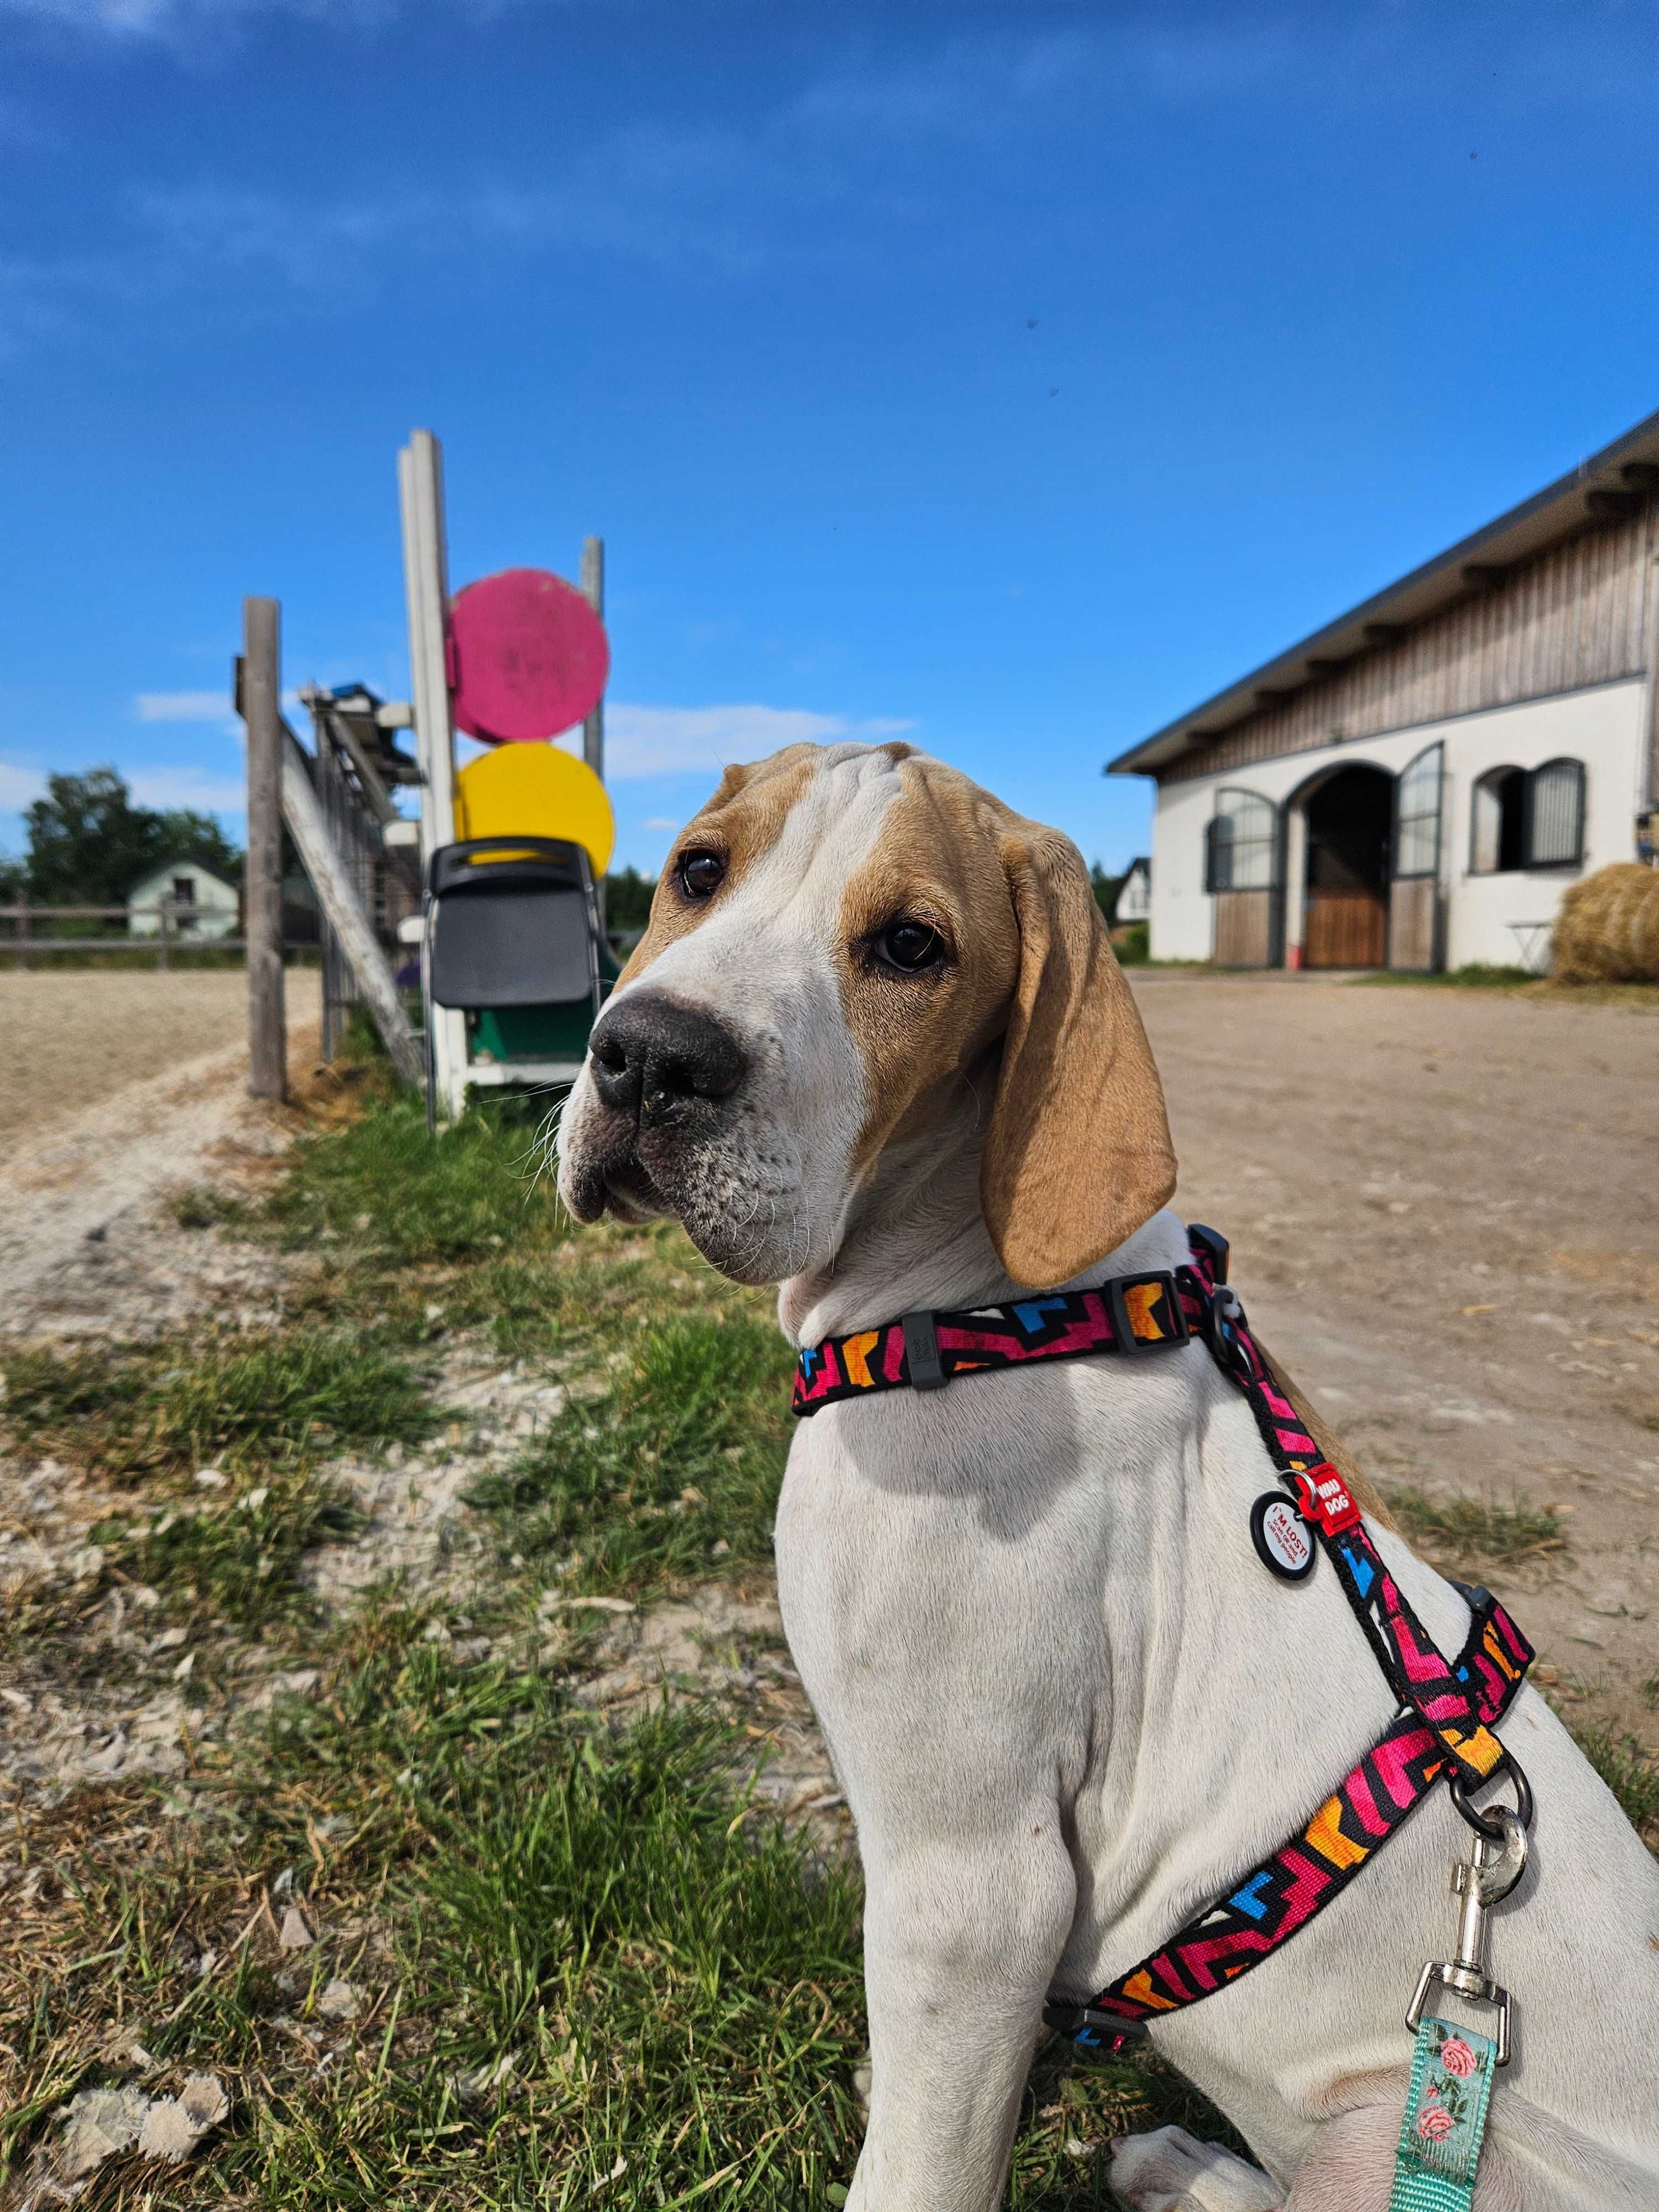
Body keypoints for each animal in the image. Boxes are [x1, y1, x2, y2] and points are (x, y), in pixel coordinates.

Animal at [562, 748, 1659, 2212]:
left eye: (910, 946)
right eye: (696, 869)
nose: (650, 1054)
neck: (993, 1310)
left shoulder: (974, 1889)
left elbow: (918, 2163)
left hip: (1419, 2134)